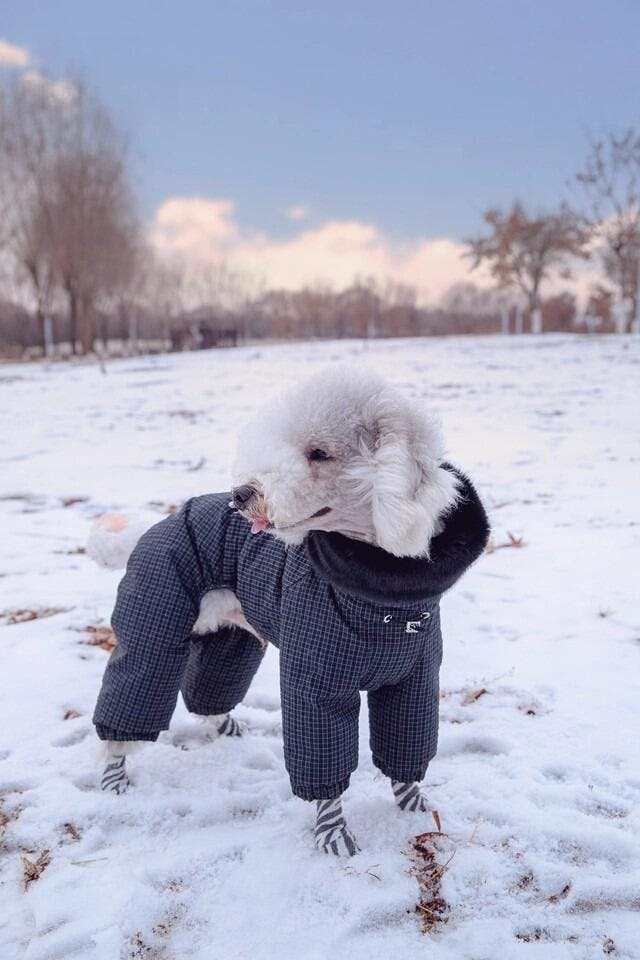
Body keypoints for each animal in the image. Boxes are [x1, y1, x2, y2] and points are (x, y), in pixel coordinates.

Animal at [93, 366, 489, 855]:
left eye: (319, 453)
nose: (241, 494)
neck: (383, 604)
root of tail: (153, 526)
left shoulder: (412, 681)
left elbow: (406, 747)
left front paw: (414, 808)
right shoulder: (315, 681)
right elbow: (323, 762)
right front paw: (334, 837)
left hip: (232, 637)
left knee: (206, 692)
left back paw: (225, 727)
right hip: (155, 620)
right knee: (137, 685)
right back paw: (114, 779)